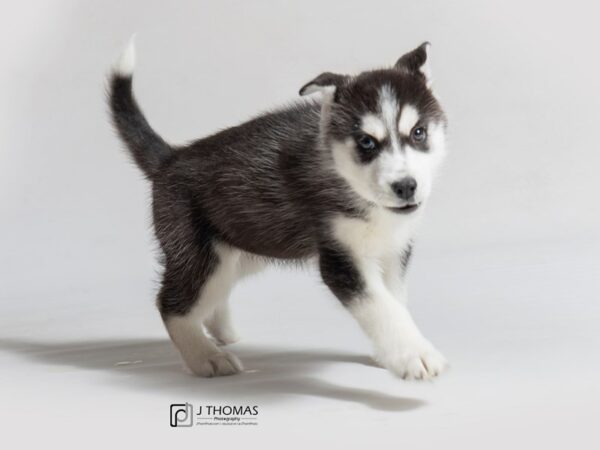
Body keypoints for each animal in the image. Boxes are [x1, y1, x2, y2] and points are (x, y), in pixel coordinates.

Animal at [110, 39, 450, 380]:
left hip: (246, 248)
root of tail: (170, 159)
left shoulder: (395, 251)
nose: (405, 186)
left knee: (213, 293)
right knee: (171, 304)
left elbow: (395, 301)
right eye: (366, 142)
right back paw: (205, 356)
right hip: (201, 254)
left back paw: (221, 332)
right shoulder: (342, 258)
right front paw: (414, 354)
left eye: (418, 132)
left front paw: (390, 353)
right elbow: (382, 308)